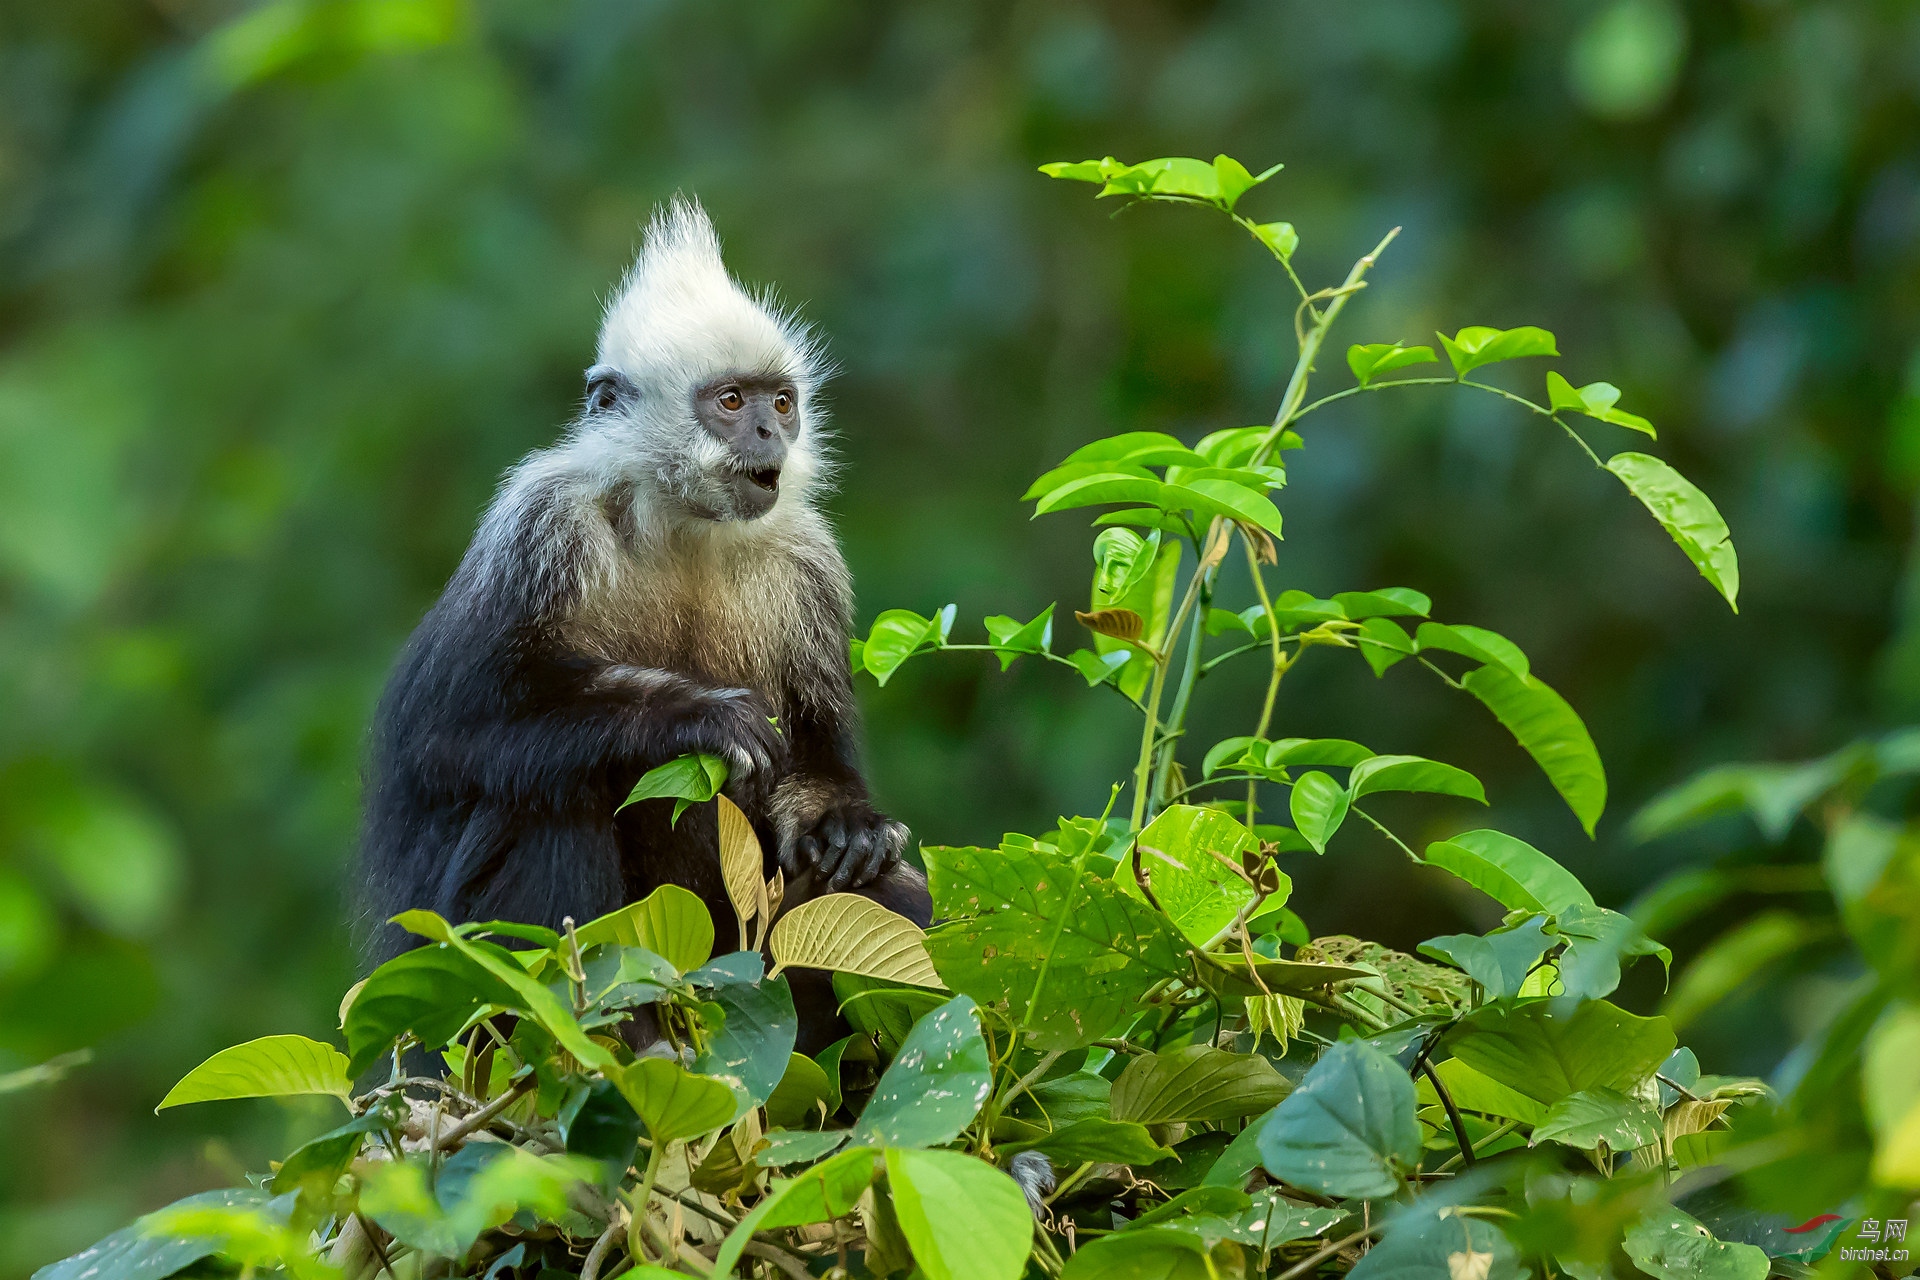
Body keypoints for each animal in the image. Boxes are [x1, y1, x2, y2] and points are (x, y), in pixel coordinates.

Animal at [360, 195, 936, 1043]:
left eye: (780, 402)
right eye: (730, 402)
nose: (770, 433)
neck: (683, 527)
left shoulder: (809, 564)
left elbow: (817, 772)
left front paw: (848, 827)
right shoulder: (537, 526)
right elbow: (443, 732)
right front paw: (695, 715)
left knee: (881, 890)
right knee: (545, 792)